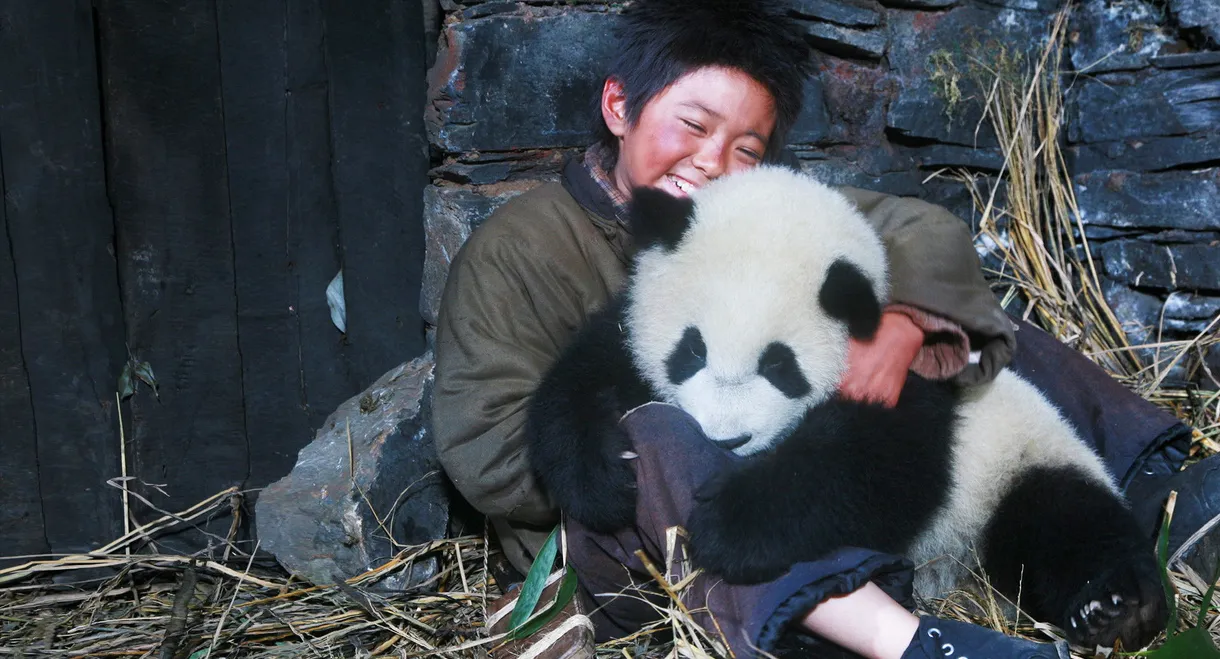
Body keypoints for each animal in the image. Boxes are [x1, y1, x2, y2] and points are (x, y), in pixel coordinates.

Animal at [524, 165, 1167, 650]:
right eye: (692, 349)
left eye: (779, 366)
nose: (726, 440)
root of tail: (957, 573)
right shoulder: (627, 335)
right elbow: (583, 381)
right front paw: (602, 479)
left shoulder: (907, 383)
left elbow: (872, 471)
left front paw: (728, 526)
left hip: (1017, 459)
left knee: (1065, 521)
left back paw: (1115, 608)